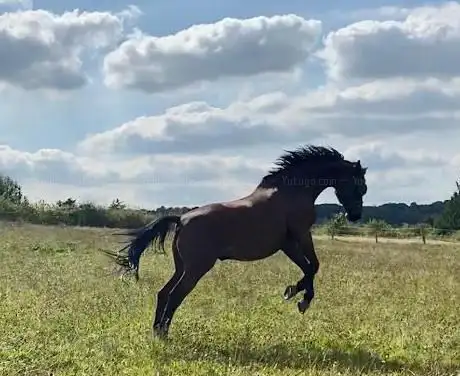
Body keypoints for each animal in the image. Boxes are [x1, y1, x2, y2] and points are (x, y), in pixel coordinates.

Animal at [103, 145, 366, 338]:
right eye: (360, 187)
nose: (355, 216)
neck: (290, 193)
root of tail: (182, 219)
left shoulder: (288, 244)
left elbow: (309, 268)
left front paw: (295, 294)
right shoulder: (299, 236)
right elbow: (313, 267)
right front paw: (299, 297)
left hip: (182, 267)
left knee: (163, 293)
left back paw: (157, 331)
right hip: (197, 268)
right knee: (175, 295)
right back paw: (164, 335)